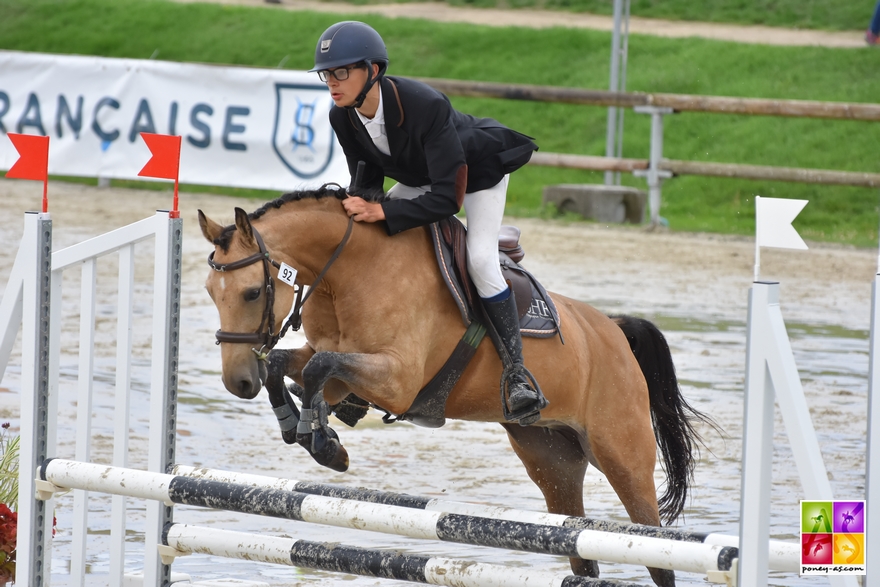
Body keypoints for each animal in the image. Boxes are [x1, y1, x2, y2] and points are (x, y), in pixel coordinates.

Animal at [198, 185, 716, 587]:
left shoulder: (397, 379)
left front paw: (323, 441)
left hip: (623, 457)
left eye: (252, 292)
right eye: (209, 293)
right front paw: (308, 430)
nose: (236, 381)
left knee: (657, 555)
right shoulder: (336, 361)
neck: (353, 269)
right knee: (578, 550)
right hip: (552, 462)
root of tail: (613, 330)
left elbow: (316, 369)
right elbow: (290, 366)